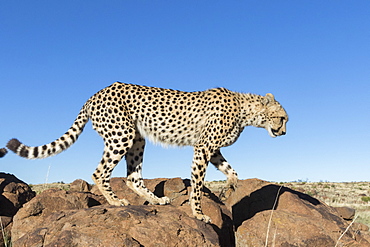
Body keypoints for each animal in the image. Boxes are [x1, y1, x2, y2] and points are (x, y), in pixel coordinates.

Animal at [6, 82, 290, 223]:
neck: (246, 111)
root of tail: (95, 94)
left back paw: (156, 201)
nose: (285, 132)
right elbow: (198, 185)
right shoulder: (203, 148)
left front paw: (228, 189)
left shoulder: (212, 148)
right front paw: (198, 213)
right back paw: (116, 202)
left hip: (137, 140)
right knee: (99, 172)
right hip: (121, 136)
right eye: (282, 118)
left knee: (132, 177)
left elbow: (233, 172)